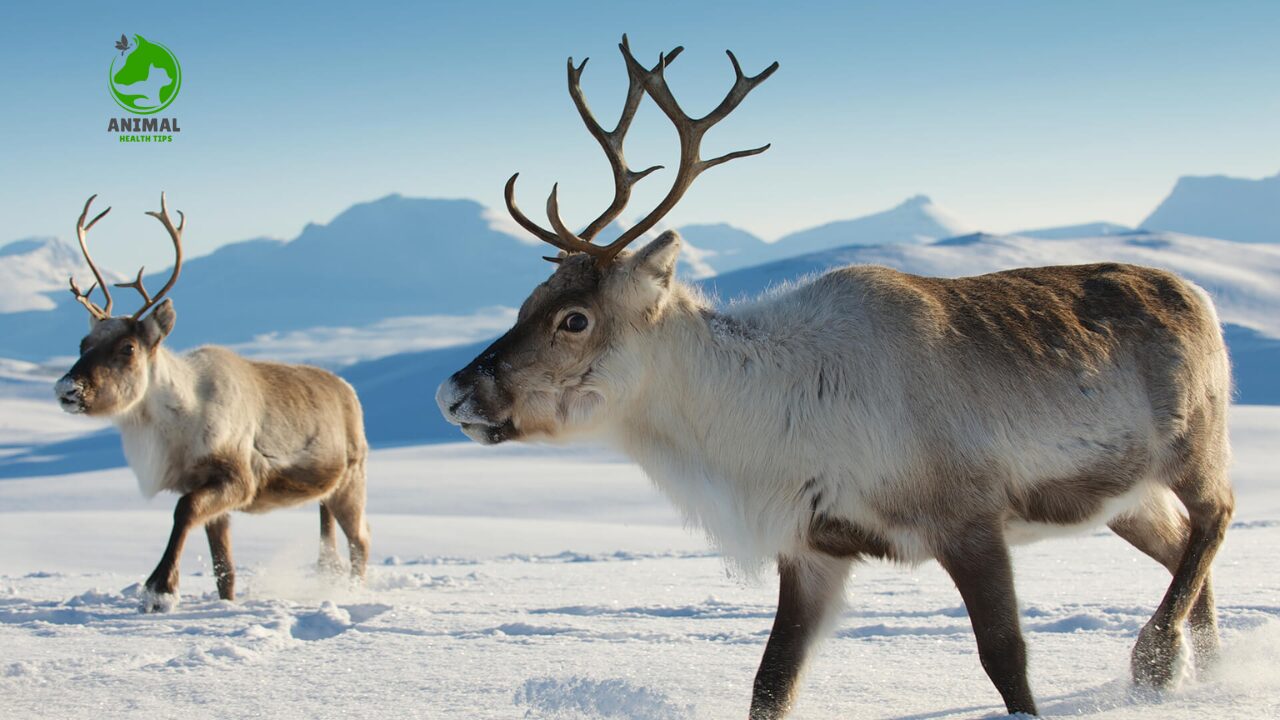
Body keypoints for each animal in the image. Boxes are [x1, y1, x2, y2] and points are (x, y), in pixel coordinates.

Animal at [54, 194, 370, 613]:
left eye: (128, 347)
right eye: (83, 344)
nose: (67, 389)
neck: (179, 422)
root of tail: (348, 391)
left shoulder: (237, 478)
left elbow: (183, 510)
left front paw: (160, 590)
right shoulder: (205, 487)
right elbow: (225, 568)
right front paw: (221, 601)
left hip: (351, 480)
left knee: (361, 541)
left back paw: (351, 593)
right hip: (328, 493)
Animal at [436, 36, 1235, 718]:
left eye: (574, 319)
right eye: (526, 302)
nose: (452, 392)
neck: (761, 420)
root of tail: (1197, 293)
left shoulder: (968, 518)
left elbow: (1006, 660)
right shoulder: (813, 548)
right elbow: (771, 682)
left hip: (1193, 445)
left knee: (1215, 517)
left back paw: (1157, 660)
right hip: (1123, 497)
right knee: (1181, 550)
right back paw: (1205, 670)